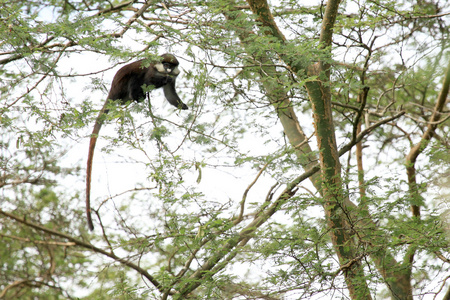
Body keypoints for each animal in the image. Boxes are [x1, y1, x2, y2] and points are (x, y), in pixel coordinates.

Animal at [86, 53, 188, 230]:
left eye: (171, 65)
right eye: (165, 64)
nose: (168, 70)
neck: (162, 71)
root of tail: (112, 90)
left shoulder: (175, 75)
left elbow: (170, 95)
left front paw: (185, 106)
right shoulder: (152, 70)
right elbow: (147, 78)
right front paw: (162, 81)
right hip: (122, 86)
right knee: (135, 77)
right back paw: (138, 96)